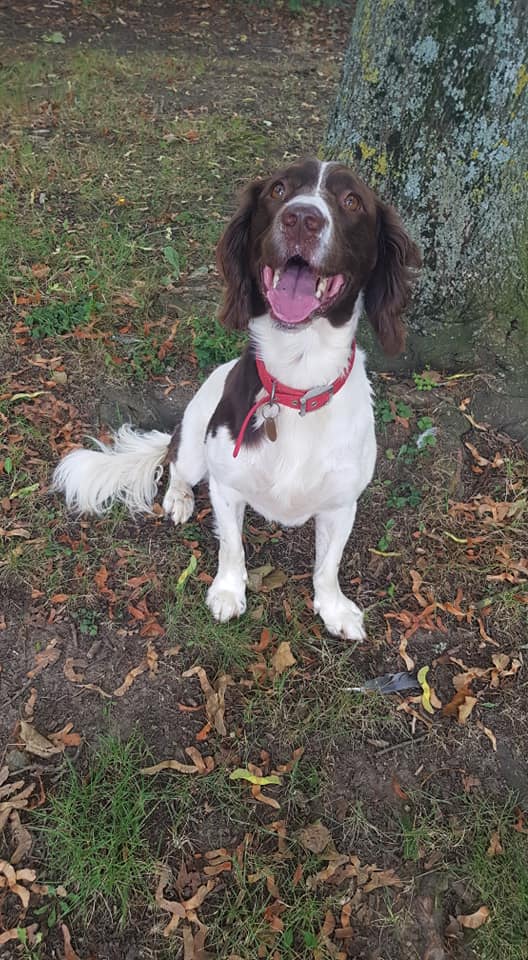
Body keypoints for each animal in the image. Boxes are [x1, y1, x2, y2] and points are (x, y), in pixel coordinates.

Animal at [53, 158, 420, 641]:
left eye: (352, 200)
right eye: (279, 189)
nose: (302, 218)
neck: (297, 384)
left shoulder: (342, 505)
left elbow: (328, 565)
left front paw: (334, 608)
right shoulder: (227, 488)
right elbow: (232, 549)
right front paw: (228, 593)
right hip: (194, 444)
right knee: (176, 465)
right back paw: (178, 498)